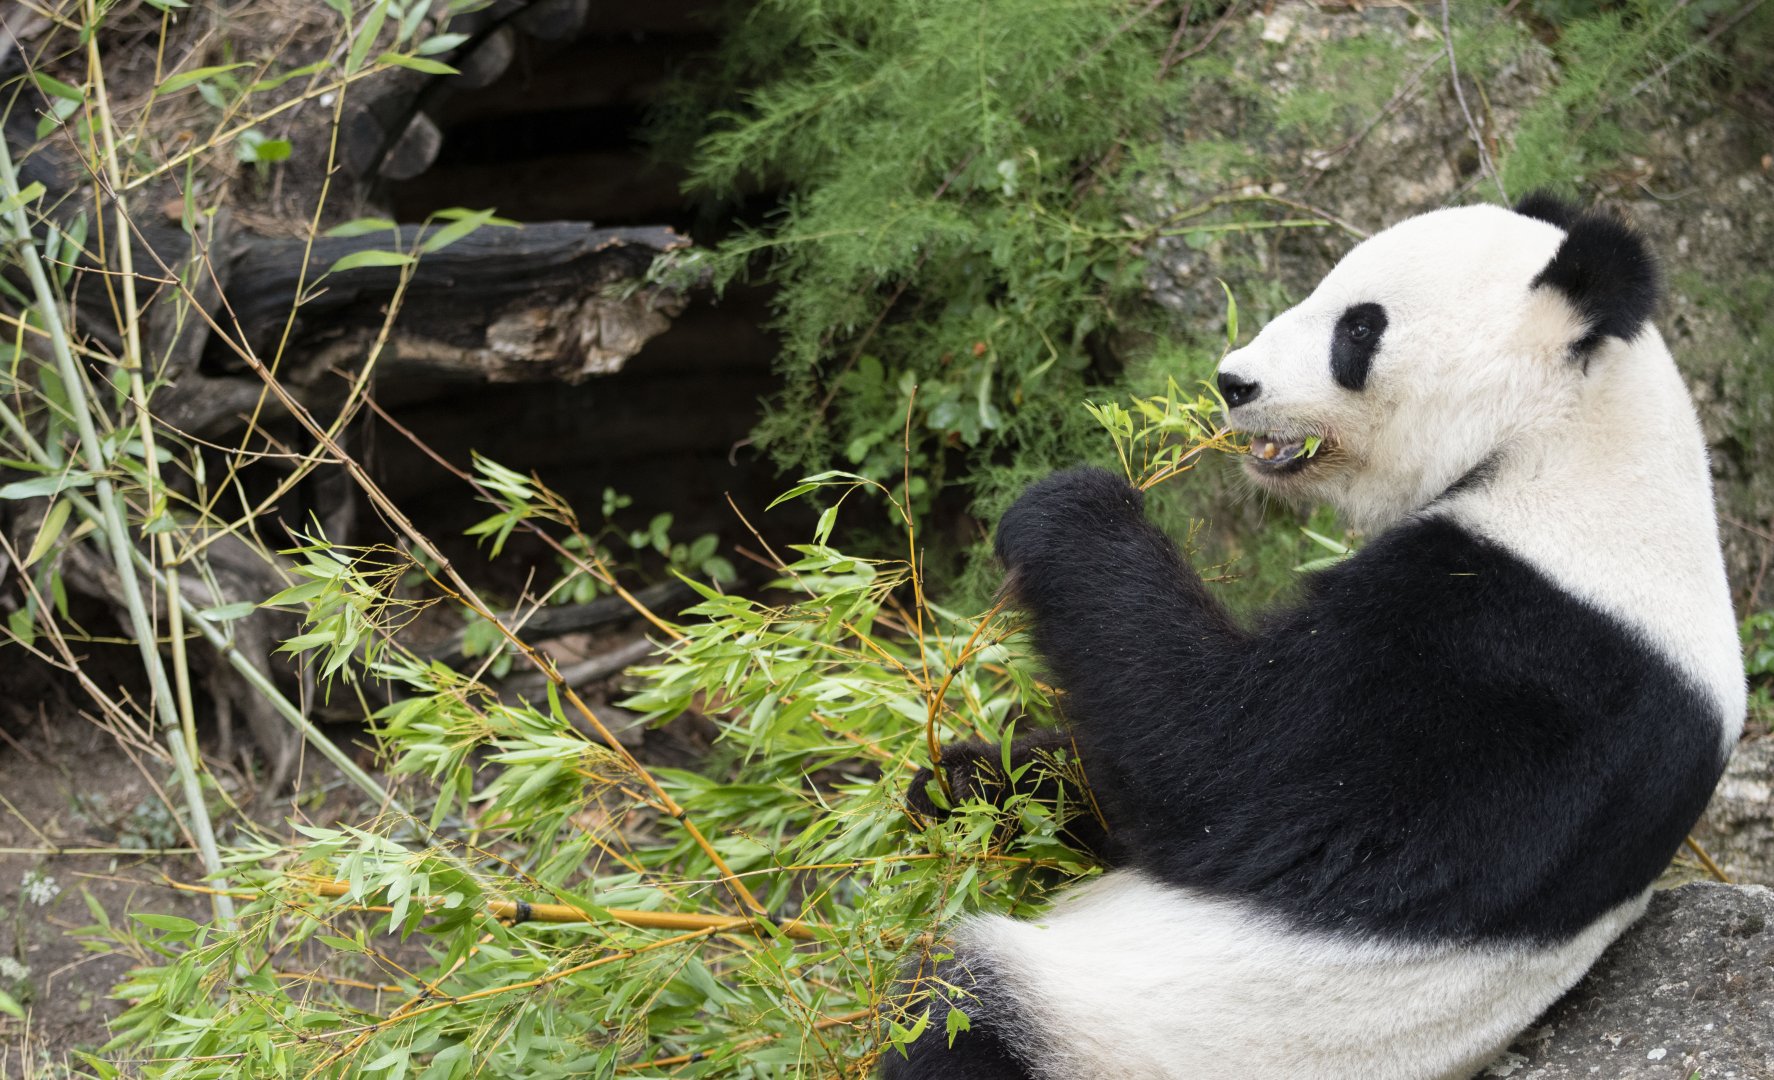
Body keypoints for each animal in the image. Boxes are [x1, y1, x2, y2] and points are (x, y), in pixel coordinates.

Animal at [884, 193, 1745, 1080]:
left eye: (1358, 329)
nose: (1233, 381)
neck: (1572, 438)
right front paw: (968, 779)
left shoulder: (1515, 658)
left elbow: (1214, 766)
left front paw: (1067, 503)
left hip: (1114, 1029)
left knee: (960, 1022)